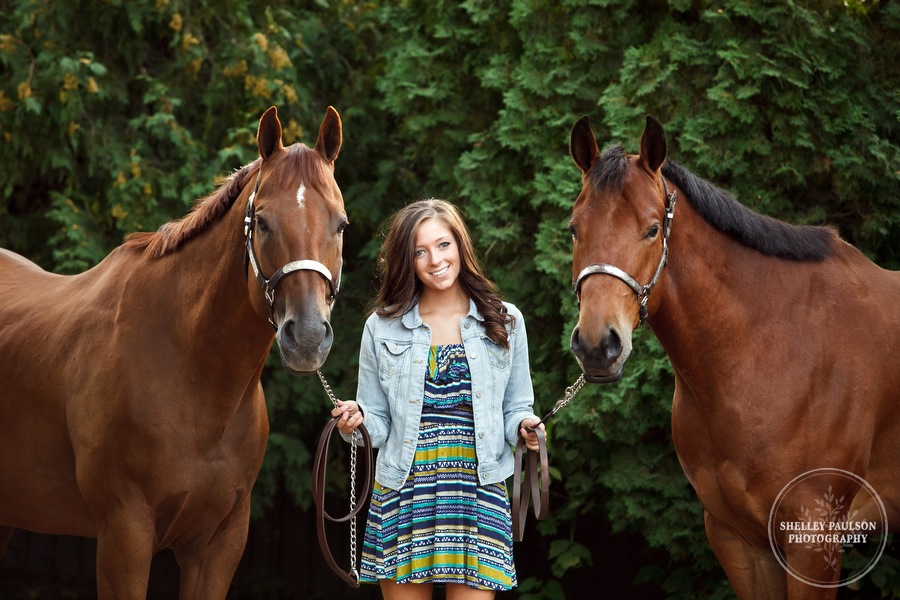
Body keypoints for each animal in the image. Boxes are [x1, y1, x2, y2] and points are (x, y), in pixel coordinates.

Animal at [0, 105, 346, 596]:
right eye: (262, 221)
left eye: (341, 224)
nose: (309, 337)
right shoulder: (124, 536)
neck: (191, 374)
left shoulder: (218, 546)